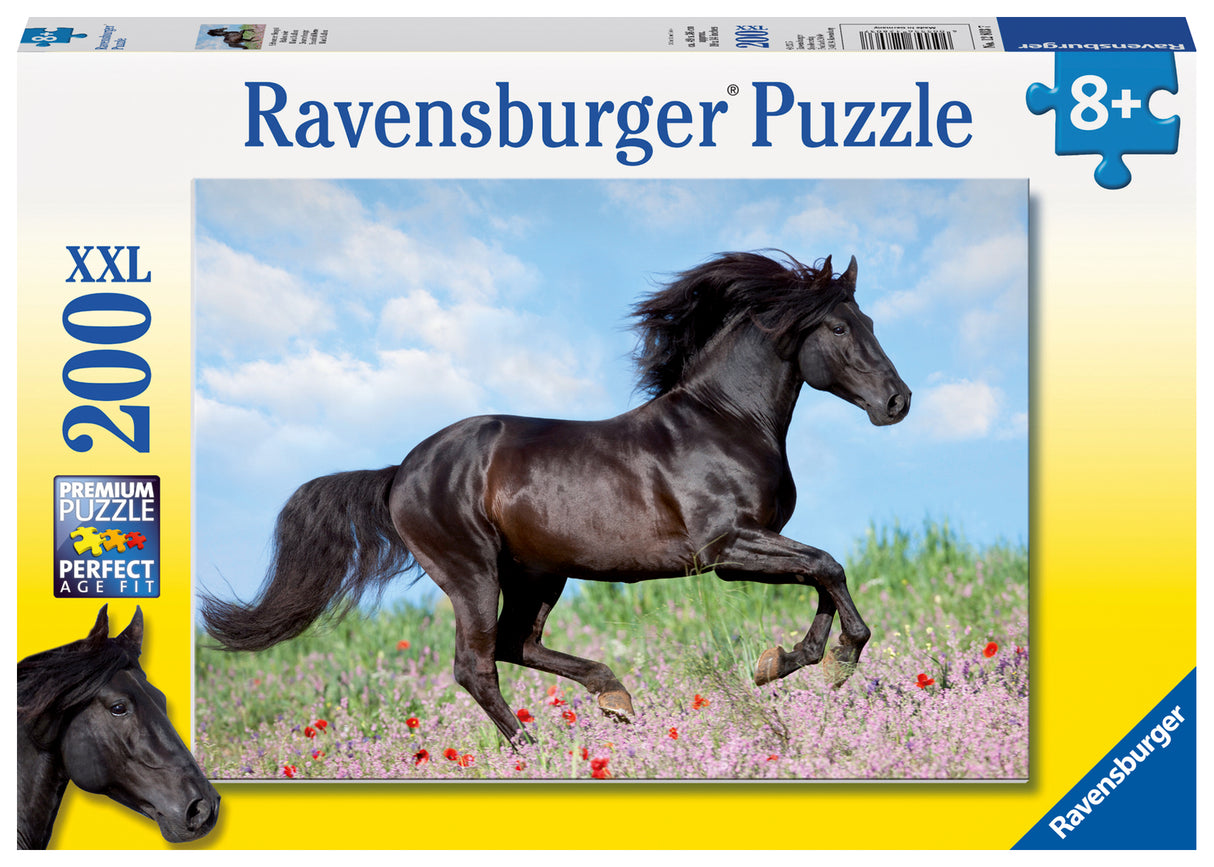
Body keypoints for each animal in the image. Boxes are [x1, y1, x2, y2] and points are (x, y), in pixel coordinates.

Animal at [202, 251, 911, 744]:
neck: (725, 420)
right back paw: (532, 748)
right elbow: (827, 567)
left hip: (540, 573)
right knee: (477, 664)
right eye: (839, 329)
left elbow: (821, 573)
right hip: (473, 572)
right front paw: (834, 661)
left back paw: (615, 699)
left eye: (869, 321)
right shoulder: (725, 549)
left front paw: (788, 662)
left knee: (517, 644)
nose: (897, 402)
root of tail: (400, 472)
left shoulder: (753, 545)